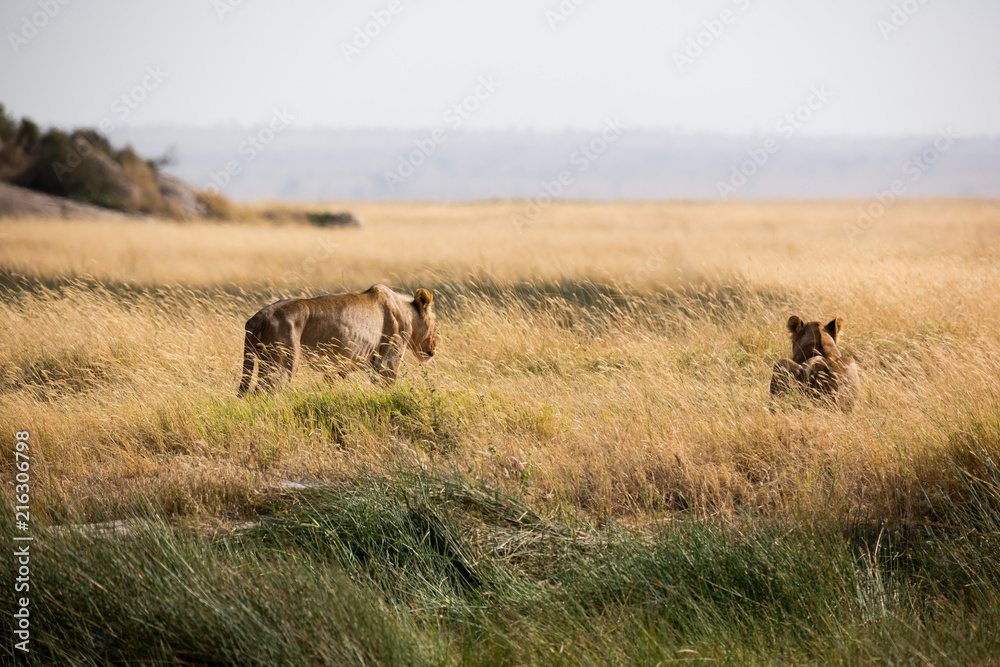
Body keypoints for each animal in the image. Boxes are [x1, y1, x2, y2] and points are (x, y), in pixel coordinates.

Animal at [237, 284, 436, 396]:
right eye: (435, 323)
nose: (434, 349)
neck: (406, 310)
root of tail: (257, 317)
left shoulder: (335, 367)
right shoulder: (387, 362)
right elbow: (387, 387)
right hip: (282, 365)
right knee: (264, 392)